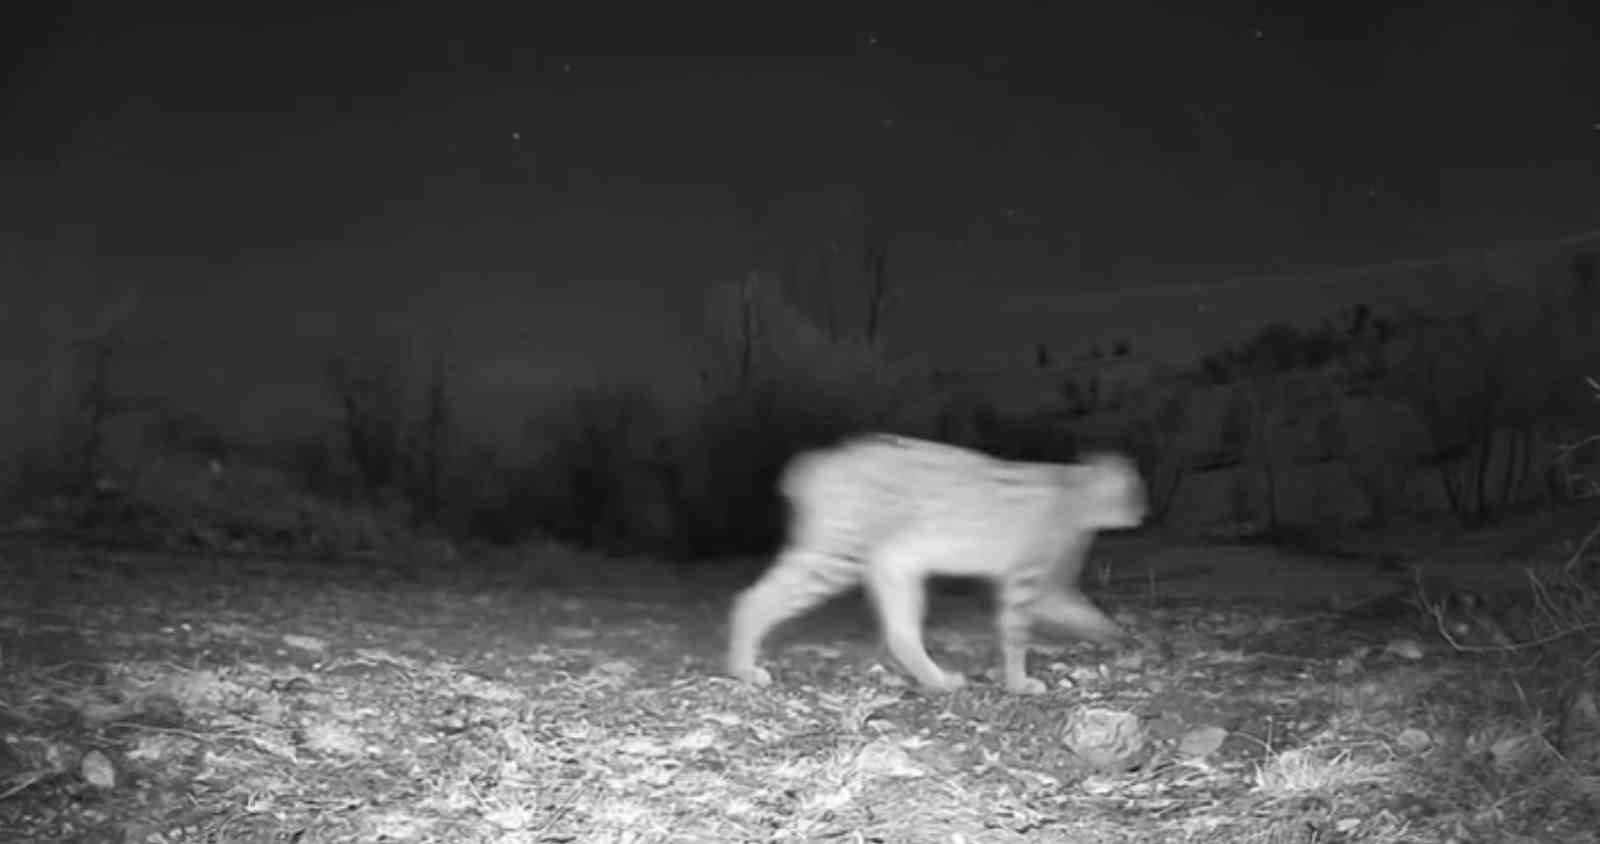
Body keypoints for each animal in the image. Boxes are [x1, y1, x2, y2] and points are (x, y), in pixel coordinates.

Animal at [726, 431, 1152, 696]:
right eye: (1135, 491)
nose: (1143, 511)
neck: (1075, 489)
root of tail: (817, 460)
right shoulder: (1029, 581)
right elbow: (1018, 634)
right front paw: (1019, 683)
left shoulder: (1052, 587)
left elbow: (1090, 614)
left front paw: (1124, 638)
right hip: (838, 556)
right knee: (754, 597)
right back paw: (743, 667)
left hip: (895, 567)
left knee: (901, 634)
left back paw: (938, 681)